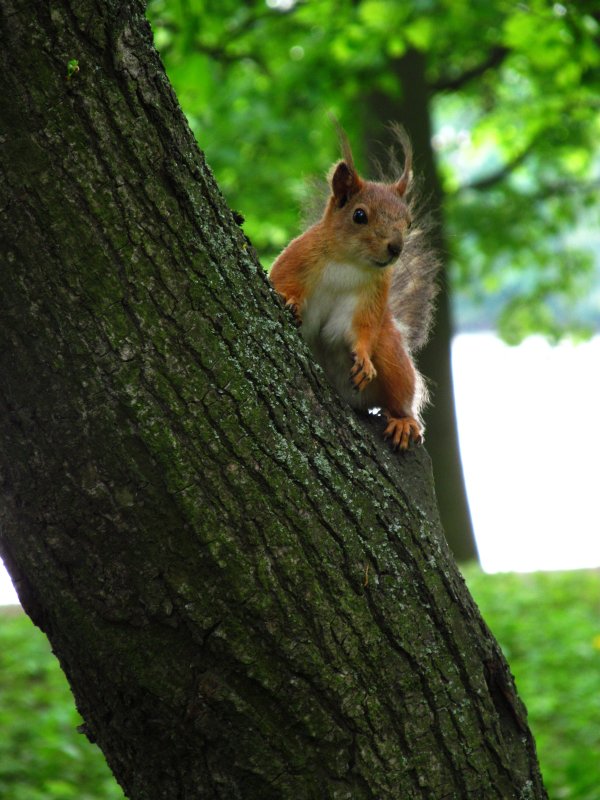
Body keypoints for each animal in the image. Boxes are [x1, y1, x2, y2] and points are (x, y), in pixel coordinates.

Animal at [270, 125, 438, 450]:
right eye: (359, 215)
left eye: (408, 222)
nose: (396, 248)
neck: (349, 263)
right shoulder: (296, 259)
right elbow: (281, 281)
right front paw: (290, 301)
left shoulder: (372, 296)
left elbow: (361, 328)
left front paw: (362, 357)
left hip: (391, 355)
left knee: (401, 396)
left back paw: (404, 421)